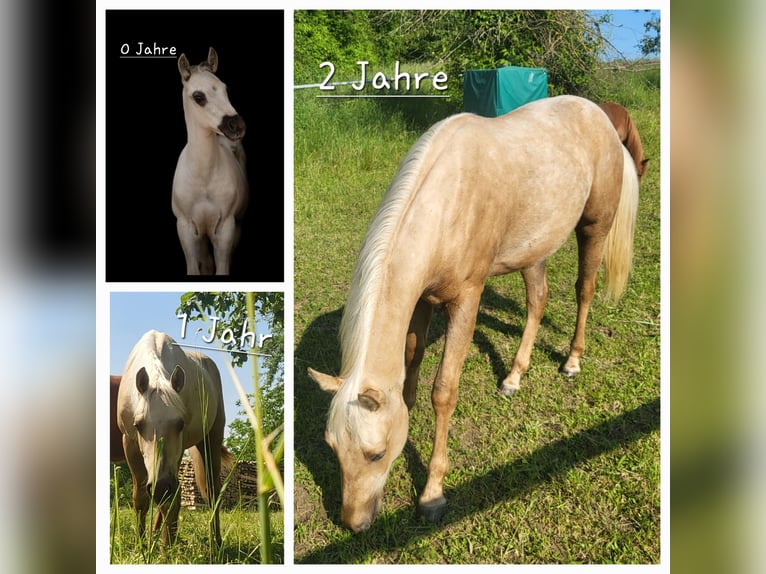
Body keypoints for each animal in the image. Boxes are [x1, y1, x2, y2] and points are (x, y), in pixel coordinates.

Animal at [116, 330, 231, 548]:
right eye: (138, 425)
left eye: (180, 424)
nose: (161, 486)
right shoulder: (129, 444)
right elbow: (141, 497)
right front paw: (142, 544)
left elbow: (173, 499)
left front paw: (166, 547)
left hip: (211, 440)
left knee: (213, 492)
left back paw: (216, 542)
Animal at [172, 47, 249, 276]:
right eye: (199, 96)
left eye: (225, 89)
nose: (237, 126)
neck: (203, 177)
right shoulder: (185, 228)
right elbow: (195, 269)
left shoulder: (226, 228)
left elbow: (222, 269)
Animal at [308, 97, 640, 532]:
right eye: (332, 447)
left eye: (376, 454)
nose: (354, 524)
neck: (447, 202)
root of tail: (599, 115)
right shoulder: (422, 300)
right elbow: (411, 365)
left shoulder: (466, 301)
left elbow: (444, 391)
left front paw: (432, 495)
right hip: (533, 250)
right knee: (538, 301)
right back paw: (513, 377)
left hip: (594, 228)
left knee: (583, 291)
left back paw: (571, 361)